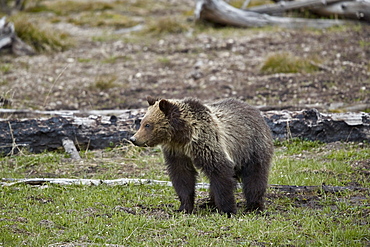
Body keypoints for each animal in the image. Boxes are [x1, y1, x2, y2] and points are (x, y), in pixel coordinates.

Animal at [130, 95, 274, 215]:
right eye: (141, 123)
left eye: (148, 124)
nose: (133, 139)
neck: (182, 136)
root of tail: (255, 110)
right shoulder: (177, 152)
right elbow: (182, 177)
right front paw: (184, 207)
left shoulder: (207, 142)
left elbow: (220, 173)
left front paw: (228, 210)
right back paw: (209, 203)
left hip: (252, 147)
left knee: (255, 177)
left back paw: (254, 206)